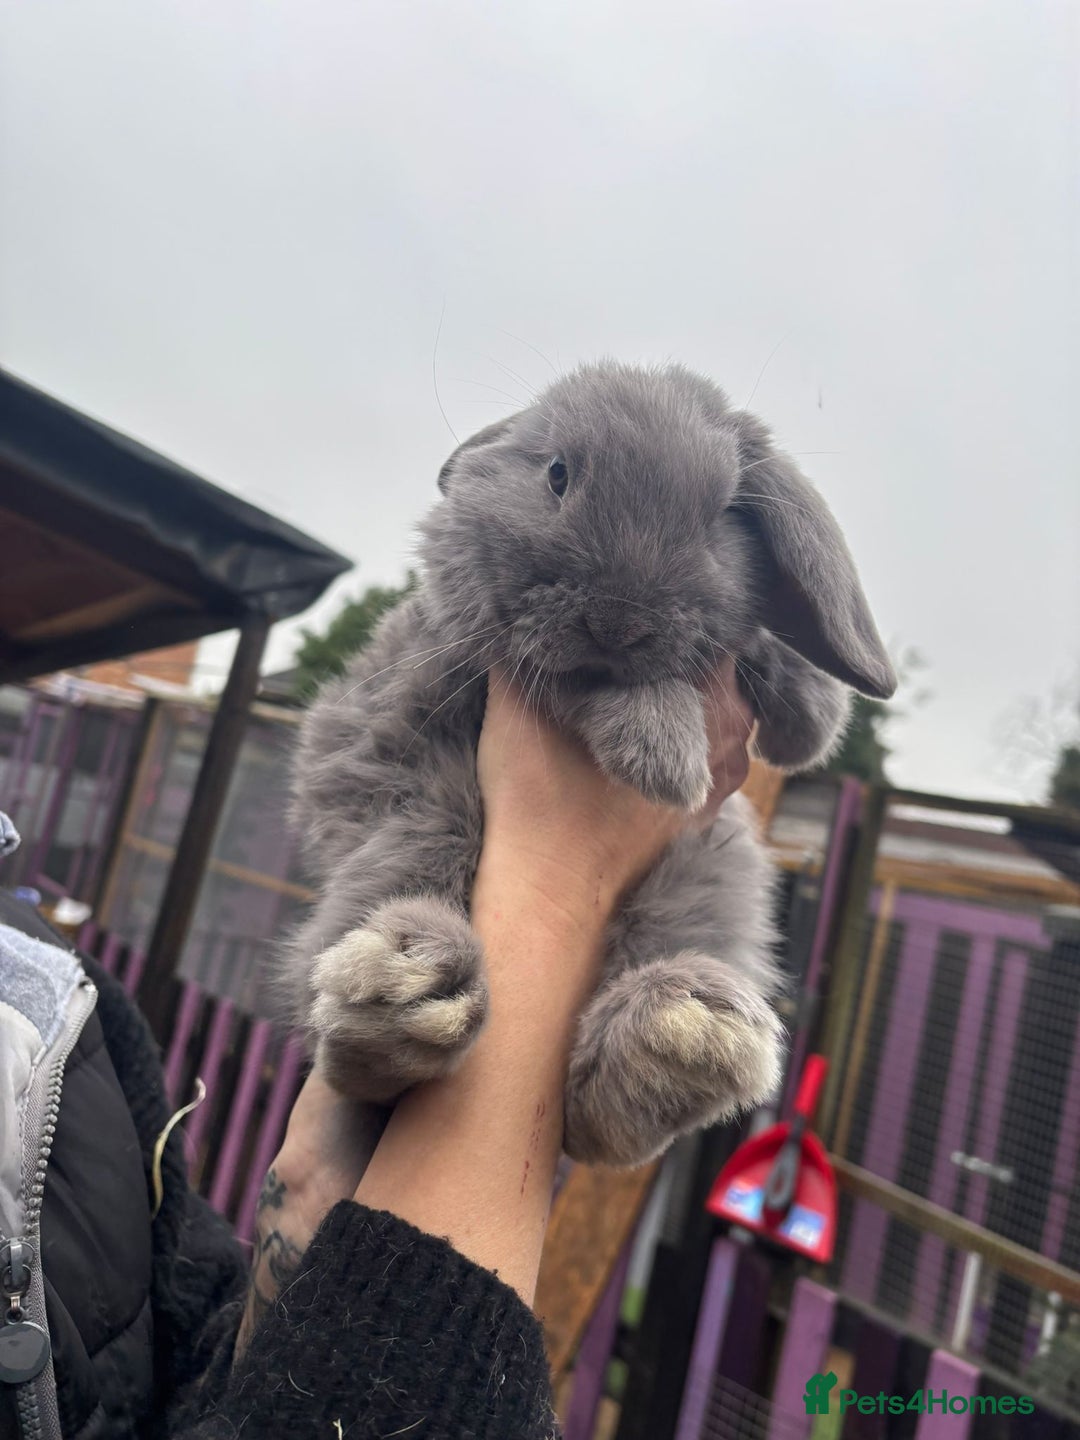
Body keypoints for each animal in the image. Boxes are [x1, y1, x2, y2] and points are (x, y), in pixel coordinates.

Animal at [286, 361, 896, 1168]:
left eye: (725, 515)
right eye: (557, 473)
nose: (618, 621)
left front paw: (811, 718)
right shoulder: (485, 638)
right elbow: (585, 685)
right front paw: (664, 753)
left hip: (707, 878)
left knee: (591, 1119)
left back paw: (680, 1041)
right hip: (414, 824)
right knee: (349, 1034)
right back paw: (410, 992)